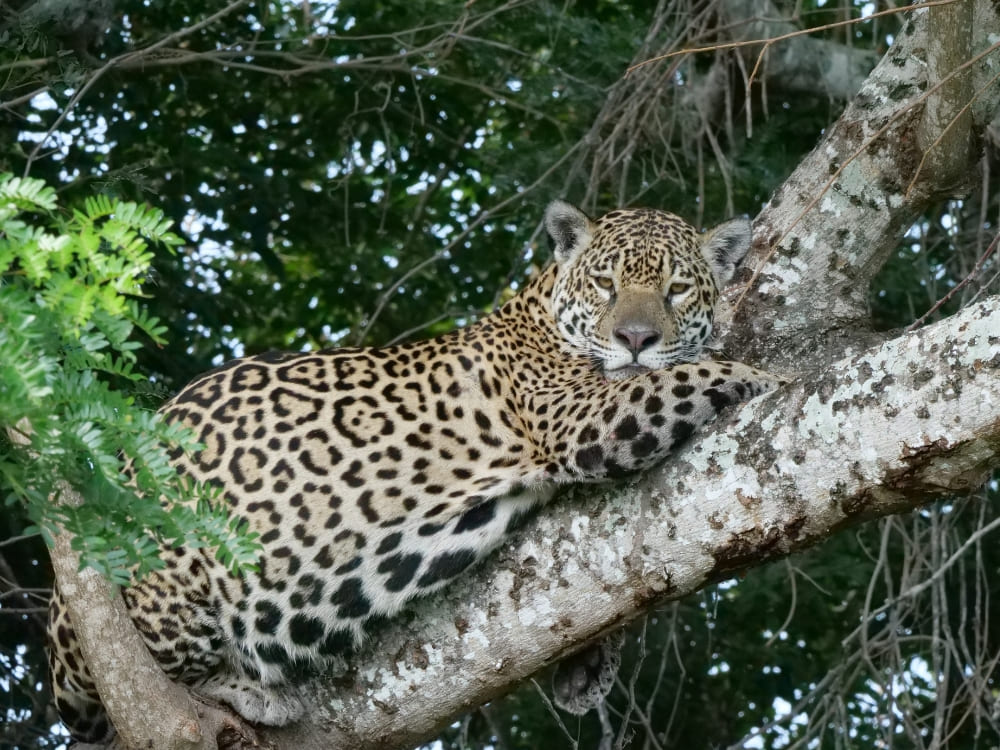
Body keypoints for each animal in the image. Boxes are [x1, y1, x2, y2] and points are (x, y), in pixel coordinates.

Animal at [47, 200, 782, 742]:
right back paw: (247, 691)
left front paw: (588, 671)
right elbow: (696, 373)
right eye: (606, 285)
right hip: (162, 575)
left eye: (676, 289)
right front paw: (778, 377)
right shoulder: (580, 414)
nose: (635, 339)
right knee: (143, 689)